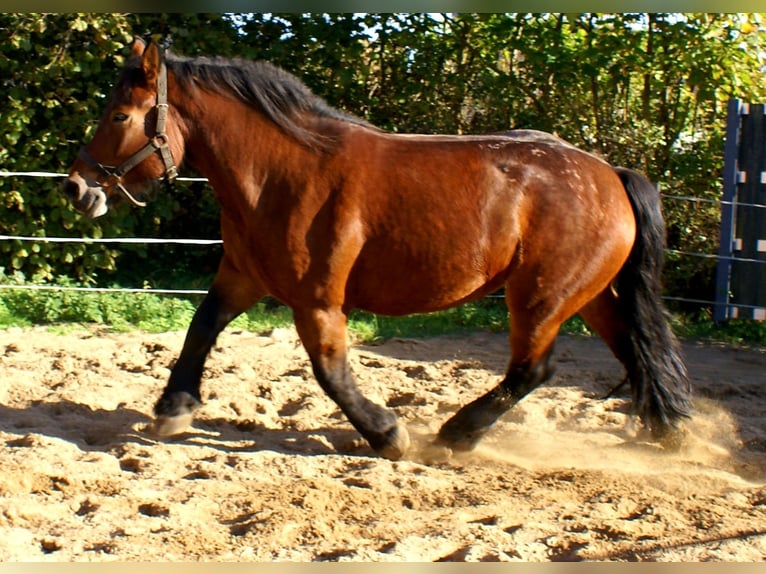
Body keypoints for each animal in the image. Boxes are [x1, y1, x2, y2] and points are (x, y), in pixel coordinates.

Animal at [62, 37, 692, 460]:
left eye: (119, 115)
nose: (75, 188)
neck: (283, 173)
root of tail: (611, 173)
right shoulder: (244, 275)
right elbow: (202, 326)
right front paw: (175, 408)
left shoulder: (317, 300)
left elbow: (330, 370)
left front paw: (388, 433)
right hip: (589, 296)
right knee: (635, 352)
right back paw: (669, 435)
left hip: (540, 298)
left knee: (534, 369)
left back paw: (456, 434)